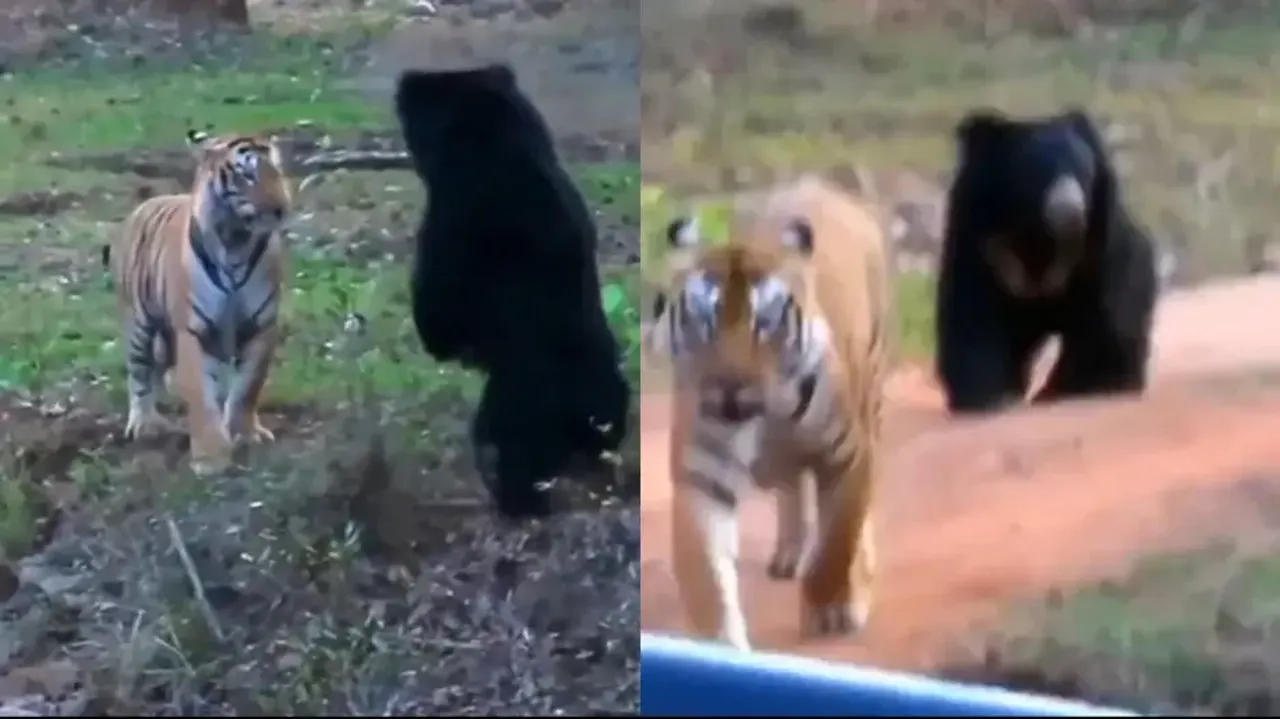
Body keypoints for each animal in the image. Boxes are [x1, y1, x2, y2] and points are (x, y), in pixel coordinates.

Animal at [103, 129, 292, 472]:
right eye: (247, 174)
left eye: (277, 171)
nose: (282, 209)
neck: (236, 242)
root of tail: (144, 203)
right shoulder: (194, 330)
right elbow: (201, 397)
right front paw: (211, 458)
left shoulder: (262, 326)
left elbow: (248, 386)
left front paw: (245, 434)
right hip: (139, 323)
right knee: (139, 372)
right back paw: (145, 424)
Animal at [394, 63, 631, 519]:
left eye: (428, 101)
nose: (407, 84)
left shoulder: (453, 218)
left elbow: (439, 318)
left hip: (525, 408)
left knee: (510, 455)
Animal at [644, 175, 892, 651]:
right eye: (705, 321)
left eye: (765, 322)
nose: (729, 386)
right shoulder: (700, 478)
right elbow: (708, 579)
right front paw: (722, 648)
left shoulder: (847, 456)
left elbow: (838, 539)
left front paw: (832, 609)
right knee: (791, 485)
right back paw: (789, 553)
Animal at [934, 107, 1158, 416]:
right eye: (1037, 173)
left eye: (1083, 172)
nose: (1070, 212)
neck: (1038, 234)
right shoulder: (985, 246)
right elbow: (973, 314)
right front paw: (990, 396)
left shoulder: (1096, 246)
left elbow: (1102, 313)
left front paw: (1077, 386)